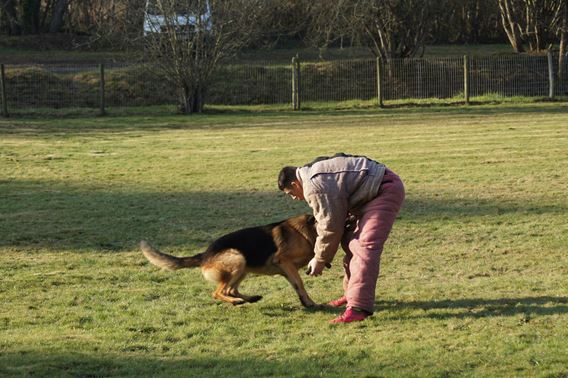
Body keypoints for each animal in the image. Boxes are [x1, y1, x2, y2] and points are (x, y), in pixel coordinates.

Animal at [140, 214, 326, 306]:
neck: (305, 232)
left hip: (242, 267)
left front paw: (307, 302)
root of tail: (205, 254)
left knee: (230, 290)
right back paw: (237, 301)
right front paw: (310, 302)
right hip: (237, 259)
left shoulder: (287, 270)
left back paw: (250, 298)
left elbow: (297, 285)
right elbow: (300, 283)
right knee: (218, 292)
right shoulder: (285, 262)